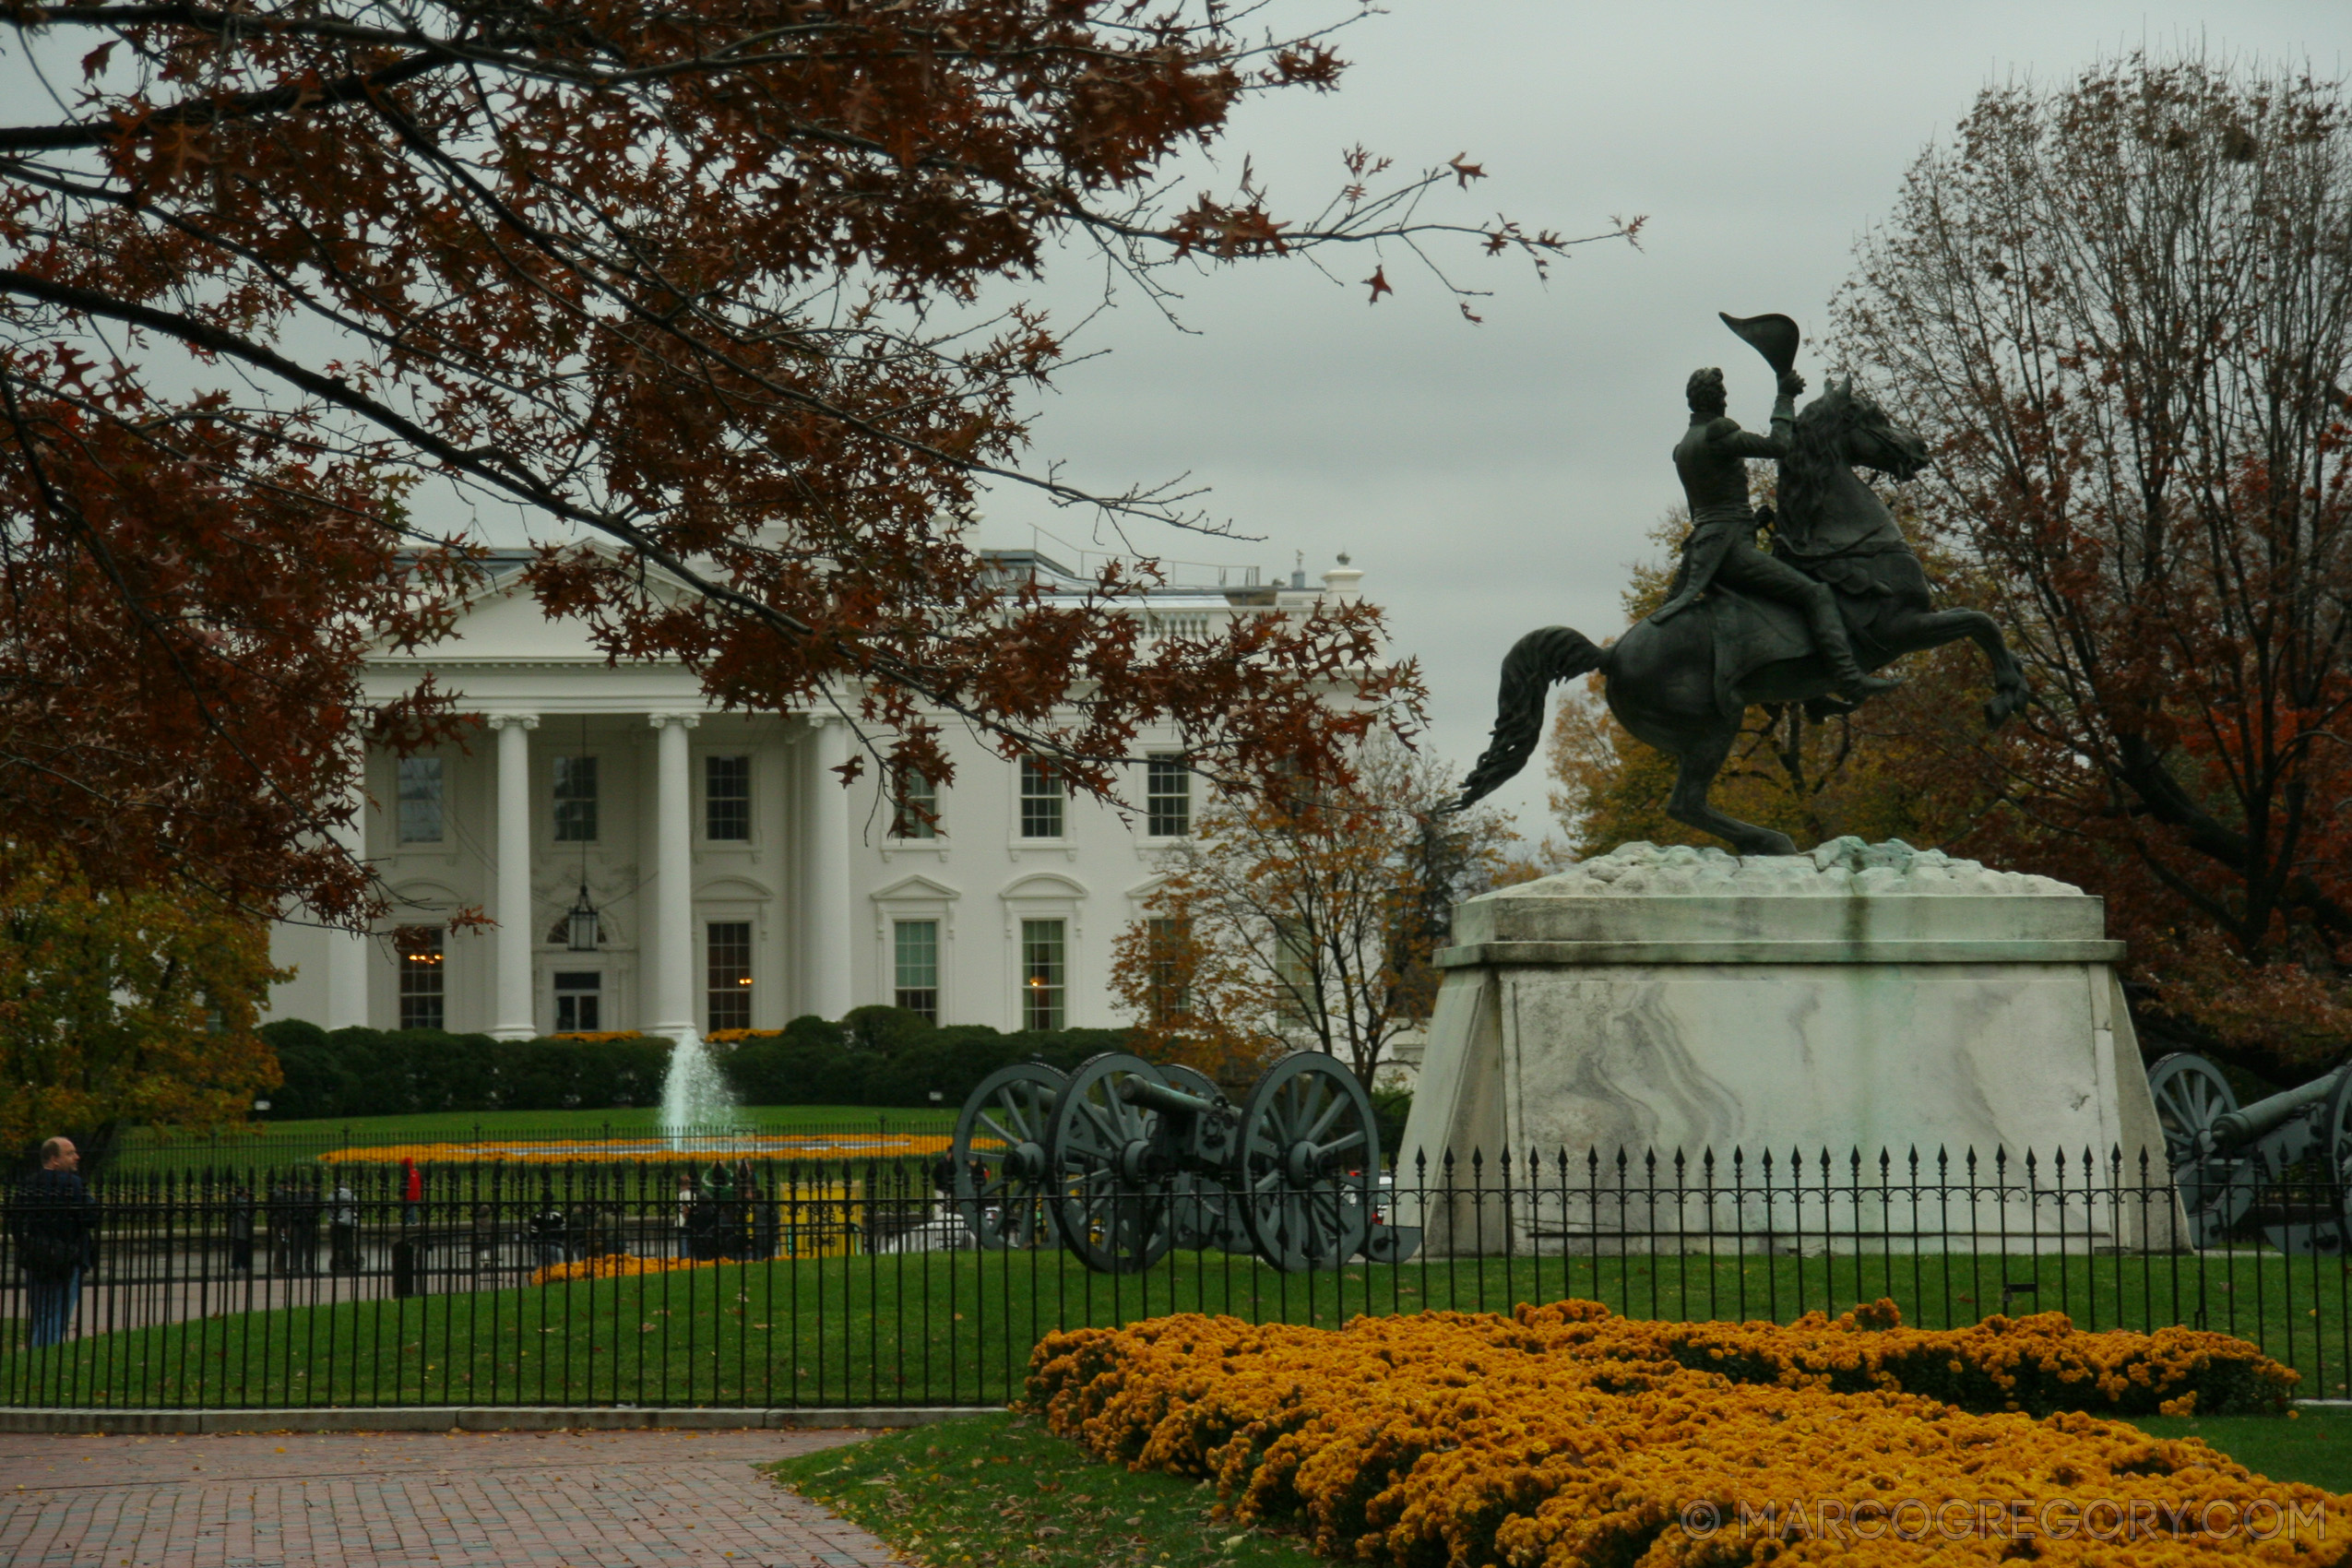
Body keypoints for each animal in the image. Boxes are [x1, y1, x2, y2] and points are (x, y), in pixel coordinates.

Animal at [1458, 380, 2032, 860]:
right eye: (1876, 417)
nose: (1919, 450)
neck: (1847, 541)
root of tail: (1611, 654)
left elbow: (1982, 623)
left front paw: (2015, 688)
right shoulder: (1900, 630)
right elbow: (1981, 621)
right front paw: (2006, 695)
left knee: (1688, 804)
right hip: (1715, 725)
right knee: (1685, 804)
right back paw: (1772, 841)